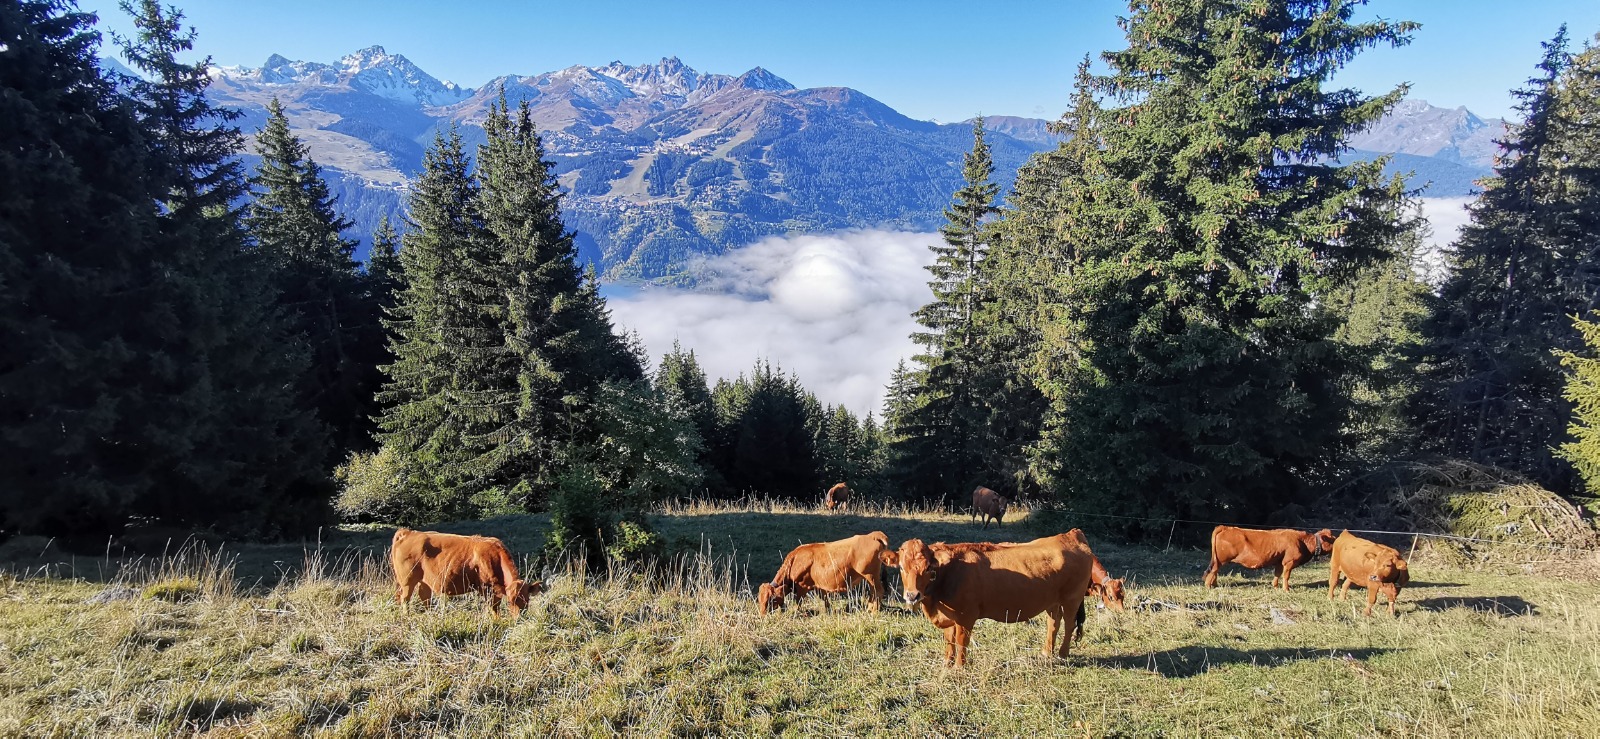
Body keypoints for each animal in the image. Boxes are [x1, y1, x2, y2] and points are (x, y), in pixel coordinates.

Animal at [390, 528, 543, 618]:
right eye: (511, 602)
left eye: (527, 600)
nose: (519, 618)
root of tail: (409, 532)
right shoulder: (486, 588)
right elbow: (494, 607)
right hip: (407, 580)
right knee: (405, 598)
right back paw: (407, 617)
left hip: (424, 581)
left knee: (424, 597)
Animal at [757, 531, 892, 615]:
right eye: (760, 598)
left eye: (770, 599)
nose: (762, 615)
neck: (795, 561)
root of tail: (872, 535)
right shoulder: (819, 586)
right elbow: (824, 599)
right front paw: (827, 611)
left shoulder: (802, 587)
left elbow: (798, 602)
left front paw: (796, 612)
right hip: (870, 577)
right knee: (873, 593)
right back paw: (869, 608)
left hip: (871, 575)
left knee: (878, 591)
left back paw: (873, 611)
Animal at [892, 534, 1095, 667]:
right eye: (901, 567)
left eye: (928, 568)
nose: (912, 595)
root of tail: (1070, 535)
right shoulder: (949, 616)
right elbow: (949, 640)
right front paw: (947, 663)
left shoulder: (966, 617)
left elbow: (961, 641)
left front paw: (959, 667)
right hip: (1053, 602)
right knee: (1054, 623)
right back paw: (1047, 652)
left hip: (1072, 599)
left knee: (1069, 625)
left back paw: (1062, 653)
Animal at [1202, 525, 1336, 591]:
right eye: (1333, 540)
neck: (1303, 542)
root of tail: (1226, 527)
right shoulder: (1289, 562)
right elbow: (1286, 576)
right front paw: (1286, 589)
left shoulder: (1280, 562)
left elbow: (1277, 574)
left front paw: (1275, 586)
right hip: (1221, 559)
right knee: (1213, 570)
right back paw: (1209, 586)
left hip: (1219, 560)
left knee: (1215, 571)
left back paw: (1214, 584)